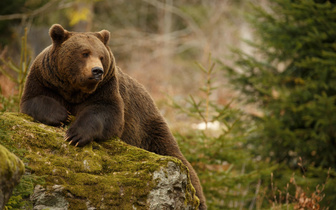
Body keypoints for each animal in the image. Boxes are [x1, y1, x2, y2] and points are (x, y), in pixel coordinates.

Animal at [20, 23, 207, 209]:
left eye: (101, 56)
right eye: (84, 53)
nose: (97, 71)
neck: (75, 90)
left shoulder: (106, 88)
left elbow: (107, 113)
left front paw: (75, 135)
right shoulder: (45, 79)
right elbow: (34, 99)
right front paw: (61, 115)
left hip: (149, 129)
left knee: (181, 163)